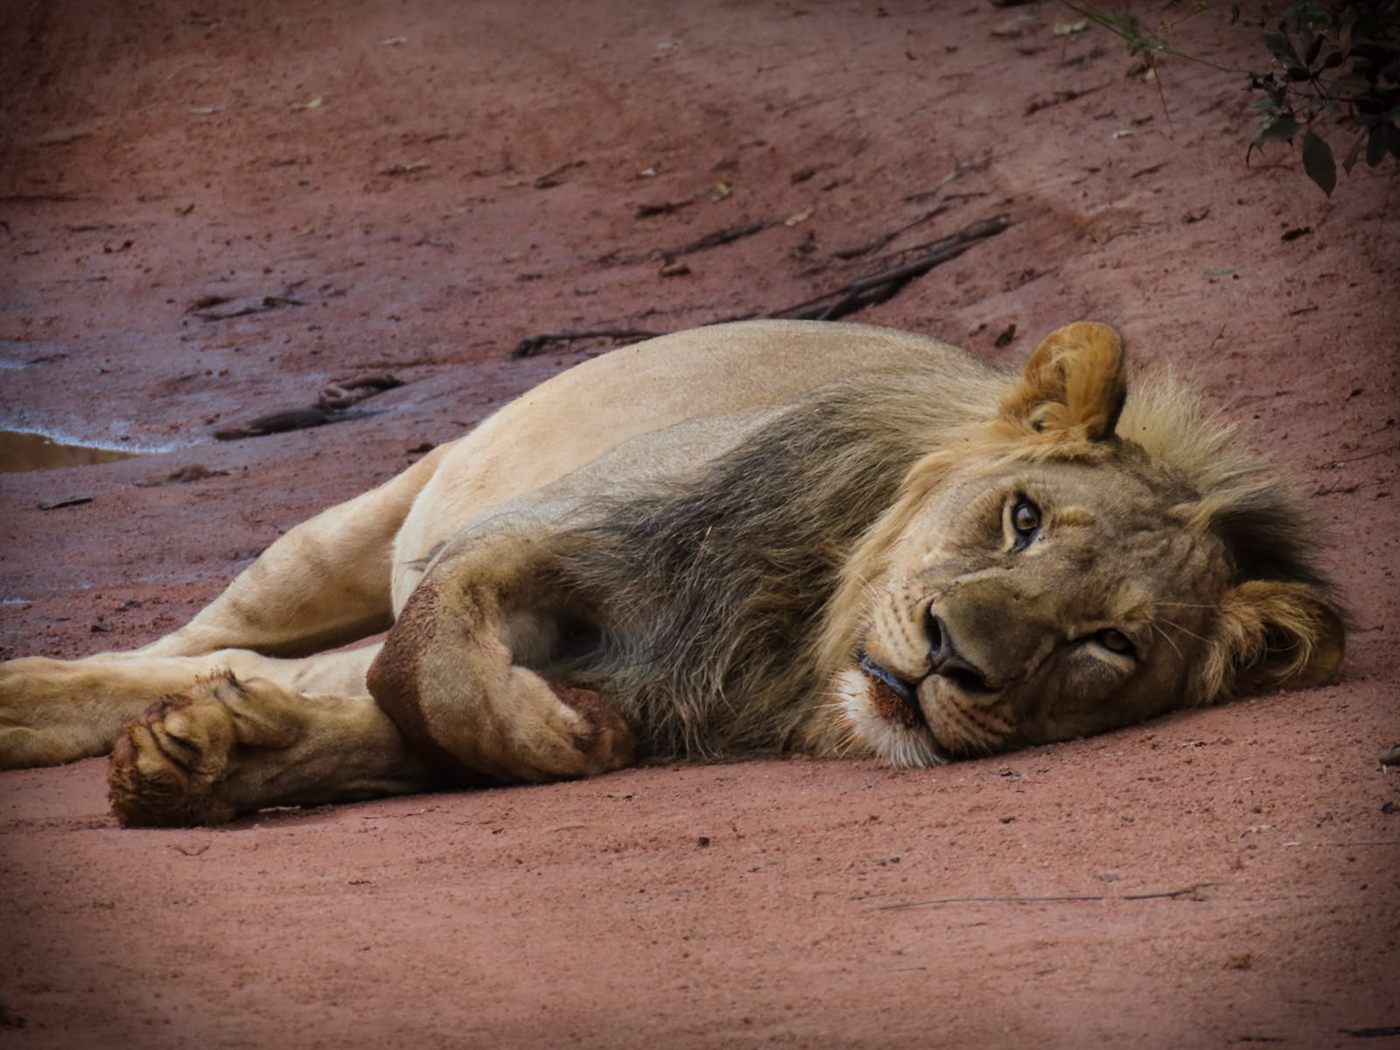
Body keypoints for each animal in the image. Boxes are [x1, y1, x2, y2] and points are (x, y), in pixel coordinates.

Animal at [0, 320, 1344, 826]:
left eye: (1103, 645)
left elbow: (397, 719)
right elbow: (435, 667)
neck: (795, 639)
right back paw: (29, 697)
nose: (950, 658)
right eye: (1019, 519)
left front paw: (208, 759)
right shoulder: (543, 531)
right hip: (344, 534)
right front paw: (560, 734)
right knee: (189, 641)